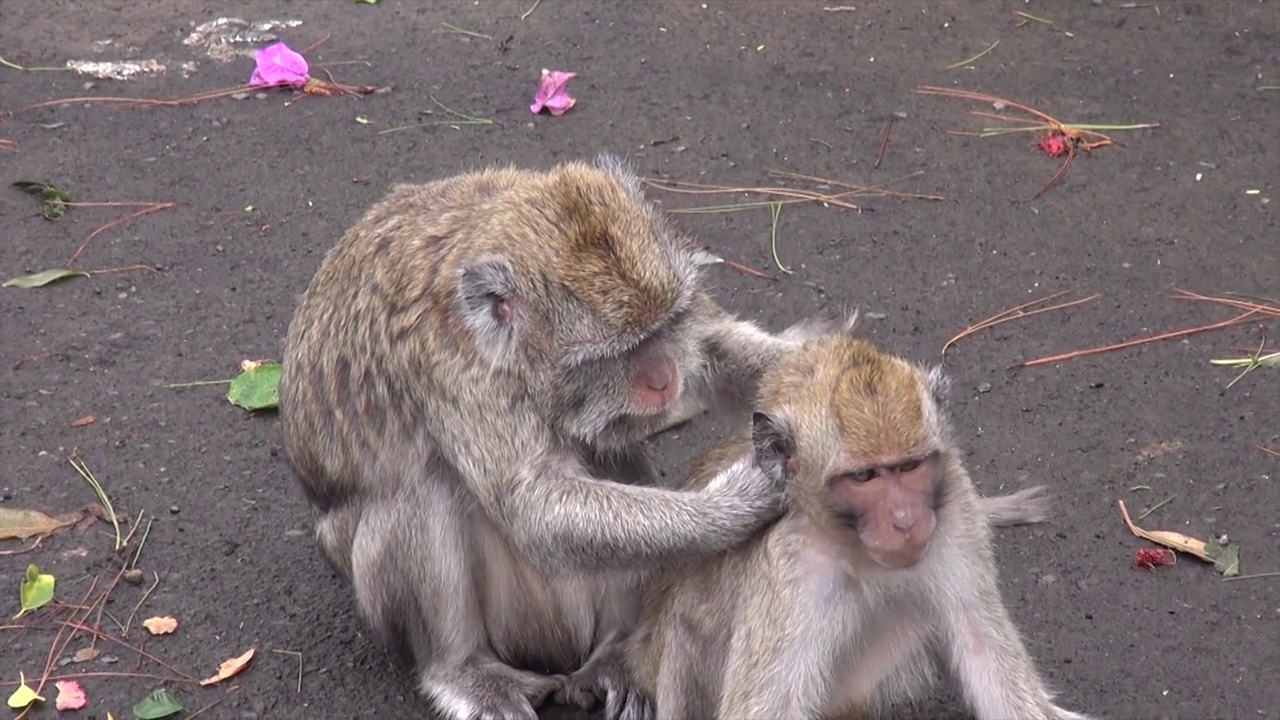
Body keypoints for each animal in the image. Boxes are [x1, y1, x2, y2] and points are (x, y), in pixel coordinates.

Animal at [280, 154, 829, 712]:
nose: (664, 379)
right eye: (615, 354)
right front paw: (742, 499)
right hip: (519, 618)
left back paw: (616, 652)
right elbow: (532, 505)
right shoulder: (455, 369)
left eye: (664, 327)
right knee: (419, 489)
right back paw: (460, 669)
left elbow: (714, 348)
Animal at [619, 326, 1090, 717]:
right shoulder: (791, 568)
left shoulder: (957, 516)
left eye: (909, 466)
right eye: (864, 477)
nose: (904, 520)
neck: (853, 547)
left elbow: (991, 664)